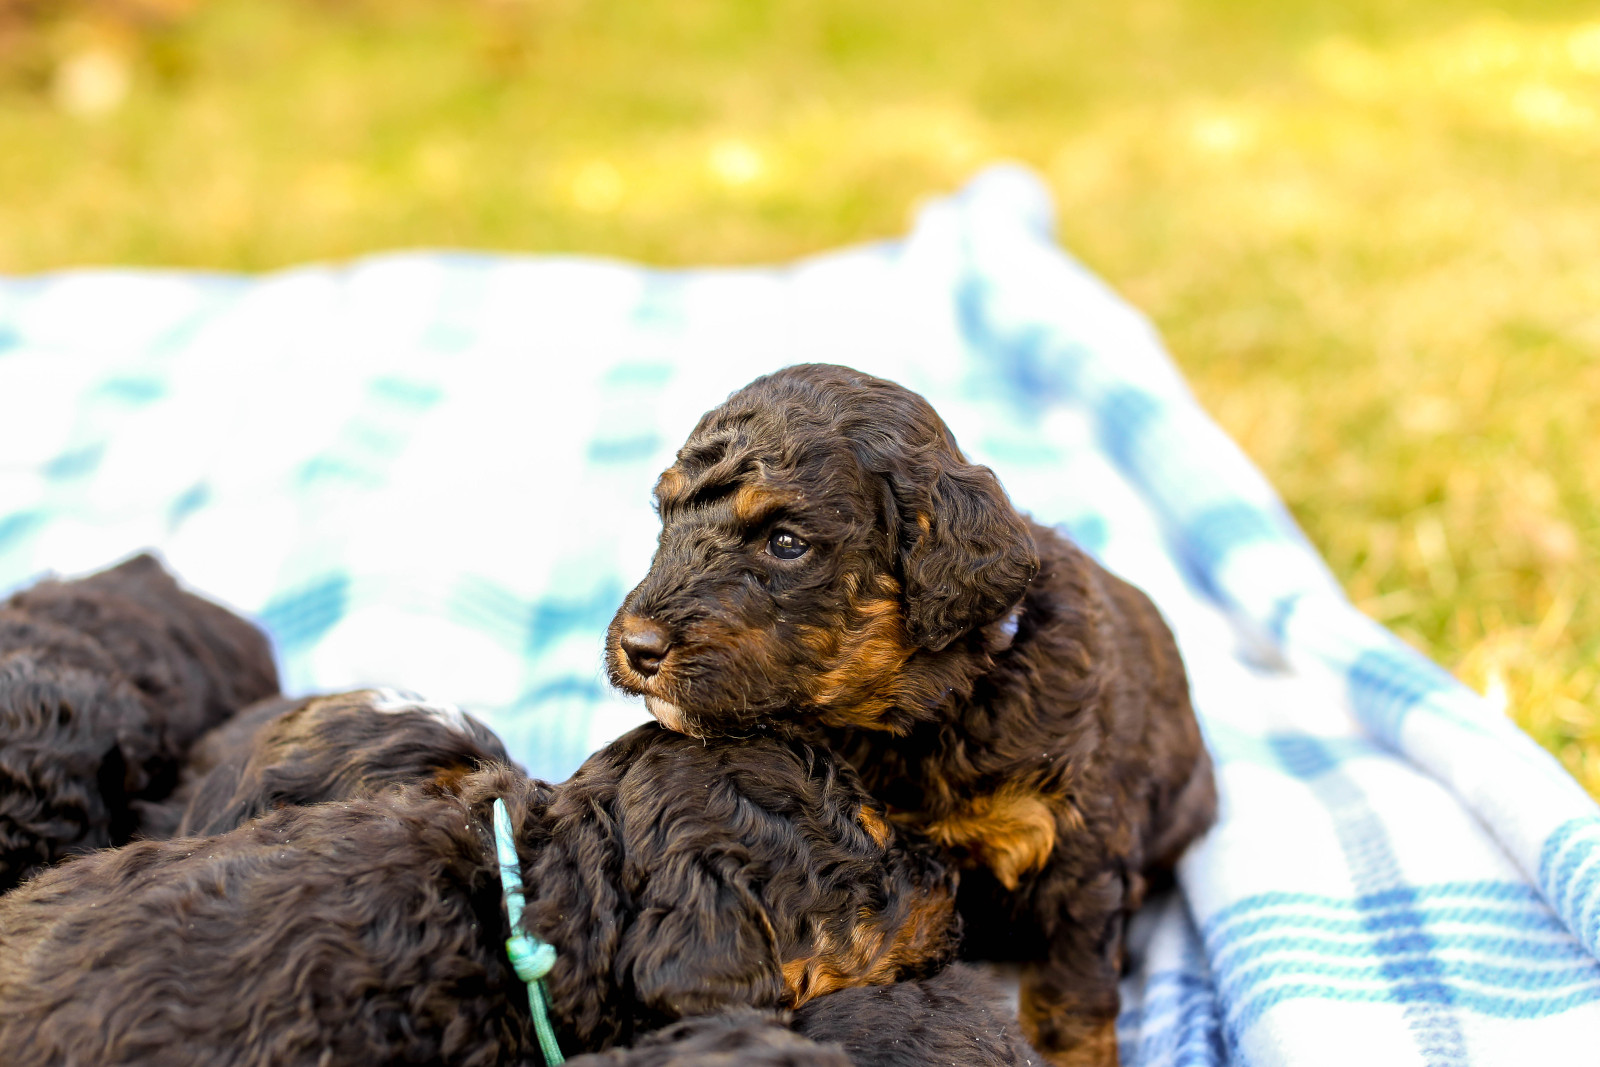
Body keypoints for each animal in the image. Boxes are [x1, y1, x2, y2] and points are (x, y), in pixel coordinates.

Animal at [608, 364, 1209, 1067]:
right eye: (666, 514)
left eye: (786, 543)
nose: (637, 646)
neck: (929, 712)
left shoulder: (1076, 854)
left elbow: (1070, 996)